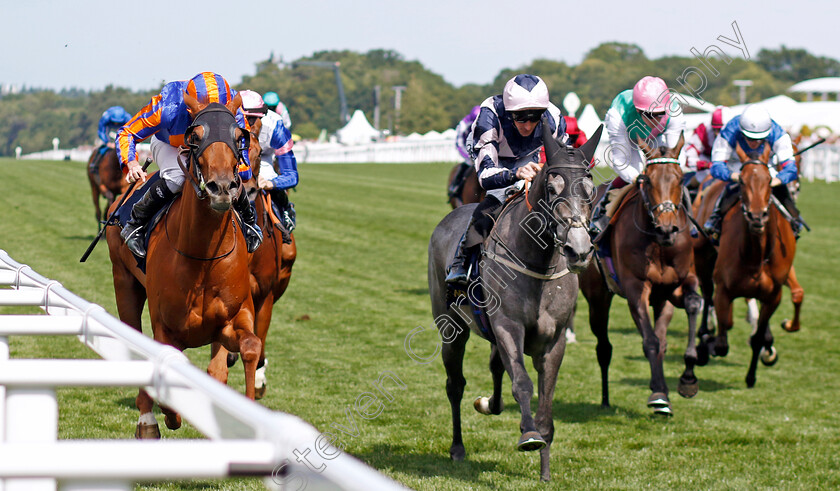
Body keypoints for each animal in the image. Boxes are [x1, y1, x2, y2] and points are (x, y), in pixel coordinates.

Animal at [106, 94, 260, 440]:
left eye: (238, 136)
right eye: (195, 136)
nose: (222, 187)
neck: (202, 256)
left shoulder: (232, 318)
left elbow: (249, 347)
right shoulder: (167, 327)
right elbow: (166, 360)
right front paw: (171, 414)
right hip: (124, 282)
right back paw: (148, 421)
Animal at [430, 122, 600, 480]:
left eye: (590, 191)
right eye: (551, 187)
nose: (579, 250)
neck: (536, 262)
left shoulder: (553, 342)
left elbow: (546, 398)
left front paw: (545, 470)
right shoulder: (508, 327)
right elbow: (521, 382)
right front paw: (530, 435)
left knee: (495, 366)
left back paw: (489, 405)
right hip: (451, 328)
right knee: (455, 385)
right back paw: (457, 447)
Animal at [576, 133, 704, 418]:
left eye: (680, 179)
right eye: (647, 180)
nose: (667, 228)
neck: (659, 244)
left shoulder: (678, 285)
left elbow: (692, 304)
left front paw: (688, 378)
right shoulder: (637, 288)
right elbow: (651, 342)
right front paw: (659, 395)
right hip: (597, 297)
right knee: (604, 347)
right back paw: (605, 398)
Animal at [692, 142, 796, 388]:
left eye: (769, 180)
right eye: (741, 181)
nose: (757, 217)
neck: (755, 256)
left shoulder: (773, 296)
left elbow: (758, 337)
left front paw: (752, 375)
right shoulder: (724, 290)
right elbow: (722, 338)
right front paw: (707, 344)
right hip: (702, 256)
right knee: (707, 295)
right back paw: (704, 336)